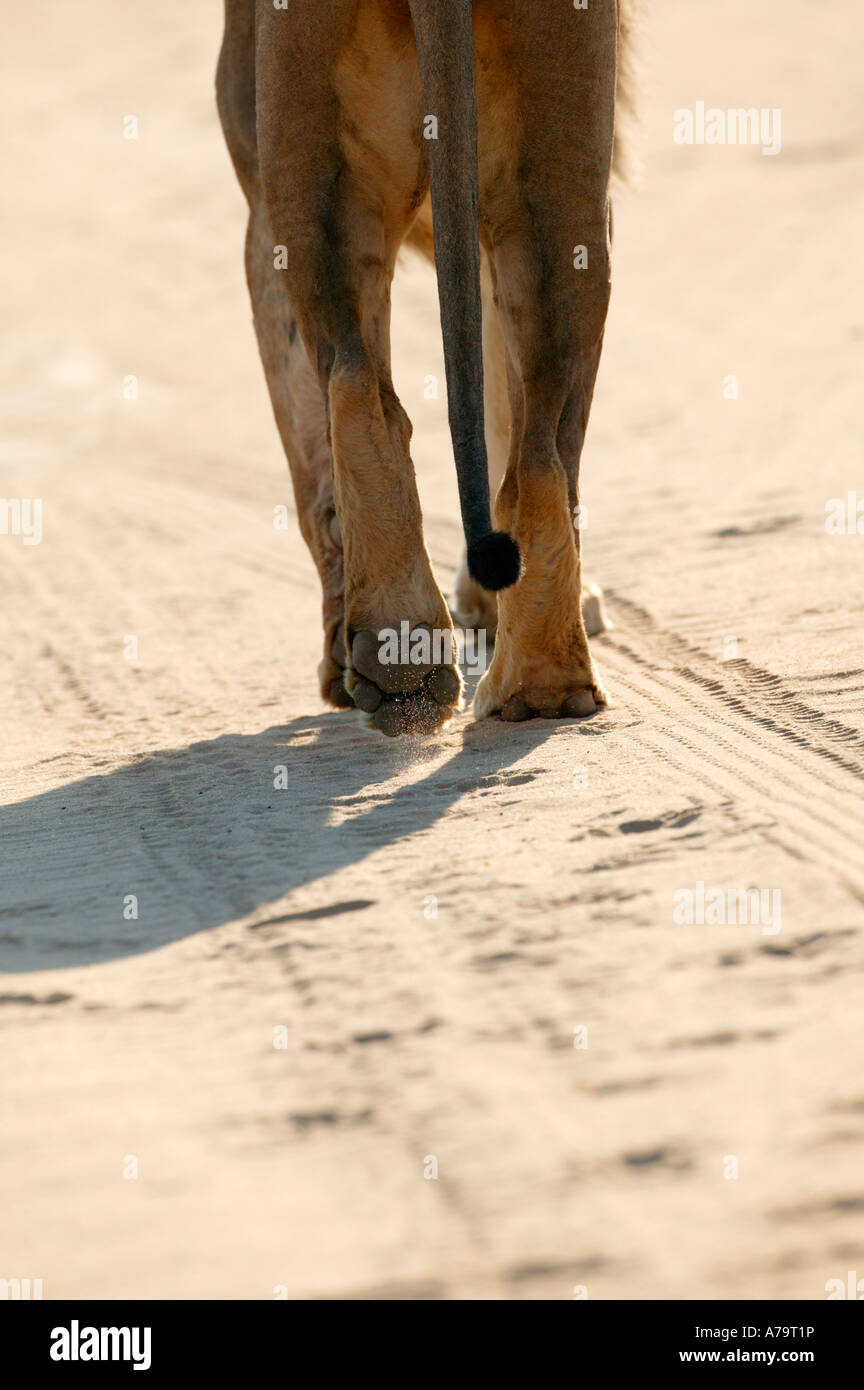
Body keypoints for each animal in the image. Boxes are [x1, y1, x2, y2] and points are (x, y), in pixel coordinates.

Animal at [217, 0, 632, 735]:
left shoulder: (256, 194)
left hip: (295, 149)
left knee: (351, 382)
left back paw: (395, 656)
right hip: (561, 163)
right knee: (539, 445)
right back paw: (539, 689)